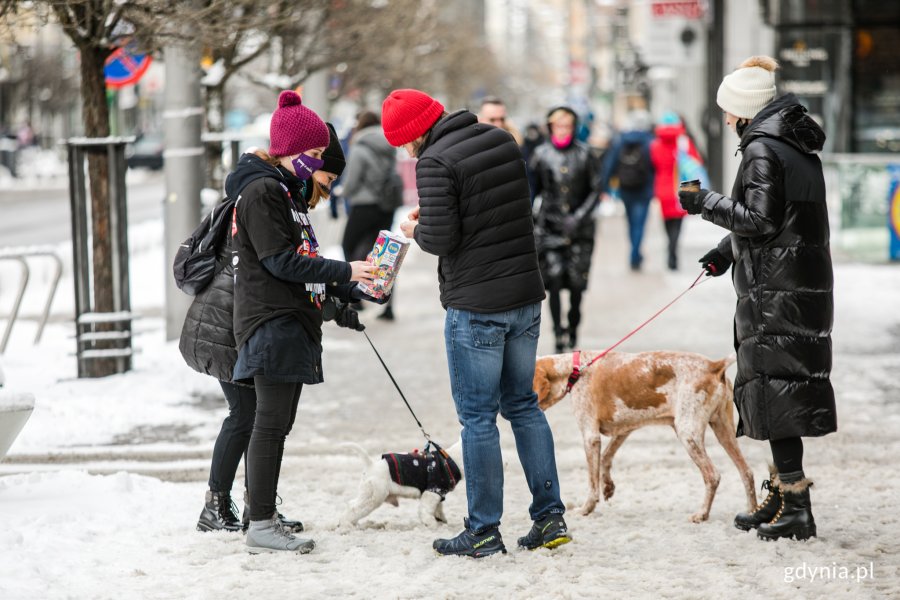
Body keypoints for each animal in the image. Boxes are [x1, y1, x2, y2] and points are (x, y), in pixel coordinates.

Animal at [536, 350, 756, 524]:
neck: (575, 369)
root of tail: (714, 365)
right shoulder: (624, 429)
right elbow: (606, 458)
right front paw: (608, 486)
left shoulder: (590, 436)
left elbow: (592, 483)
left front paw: (585, 509)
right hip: (724, 432)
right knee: (746, 472)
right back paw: (752, 513)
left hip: (688, 434)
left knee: (713, 476)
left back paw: (702, 514)